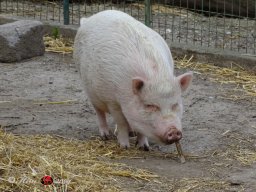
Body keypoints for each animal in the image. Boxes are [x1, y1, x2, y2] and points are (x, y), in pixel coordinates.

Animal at [73, 10, 193, 150]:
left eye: (175, 104)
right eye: (149, 105)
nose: (173, 131)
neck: (156, 76)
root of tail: (89, 19)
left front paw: (144, 148)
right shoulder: (112, 101)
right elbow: (121, 122)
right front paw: (124, 146)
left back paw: (131, 133)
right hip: (90, 90)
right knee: (99, 112)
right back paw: (105, 135)